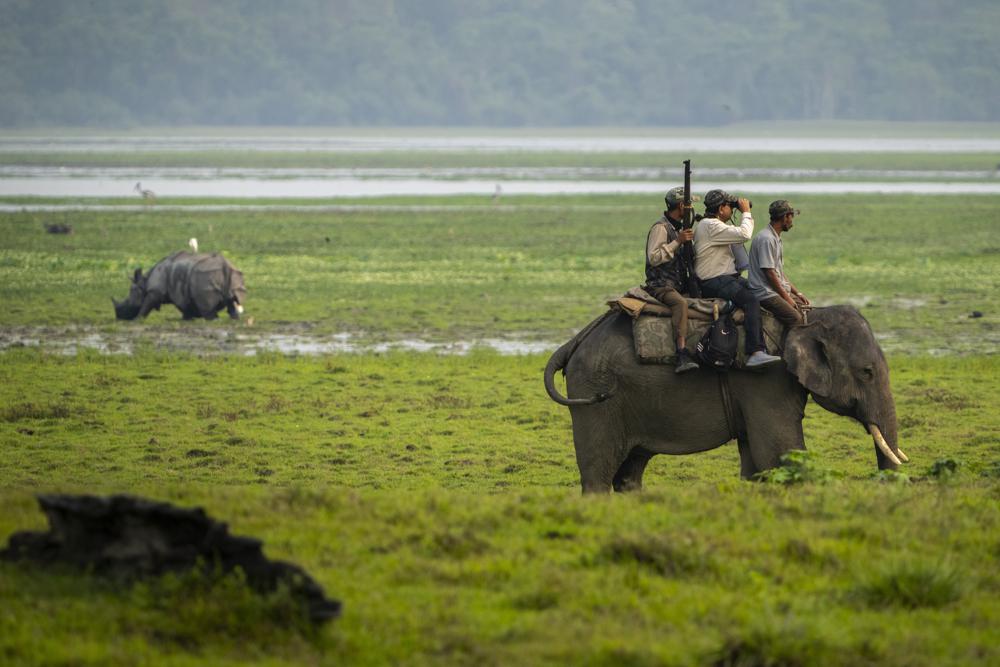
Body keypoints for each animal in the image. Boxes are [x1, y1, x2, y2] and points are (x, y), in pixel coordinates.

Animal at [112, 252, 246, 322]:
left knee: (208, 310)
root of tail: (225, 266)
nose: (118, 317)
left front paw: (137, 320)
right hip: (234, 276)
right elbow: (186, 306)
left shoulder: (156, 291)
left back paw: (213, 320)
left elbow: (146, 305)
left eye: (127, 303)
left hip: (205, 278)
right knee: (231, 301)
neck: (144, 282)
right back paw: (234, 319)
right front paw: (187, 318)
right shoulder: (181, 292)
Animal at [548, 306, 908, 494]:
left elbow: (756, 463)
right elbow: (780, 453)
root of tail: (573, 343)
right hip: (597, 395)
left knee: (629, 473)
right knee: (599, 472)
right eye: (866, 372)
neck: (806, 317)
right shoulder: (766, 379)